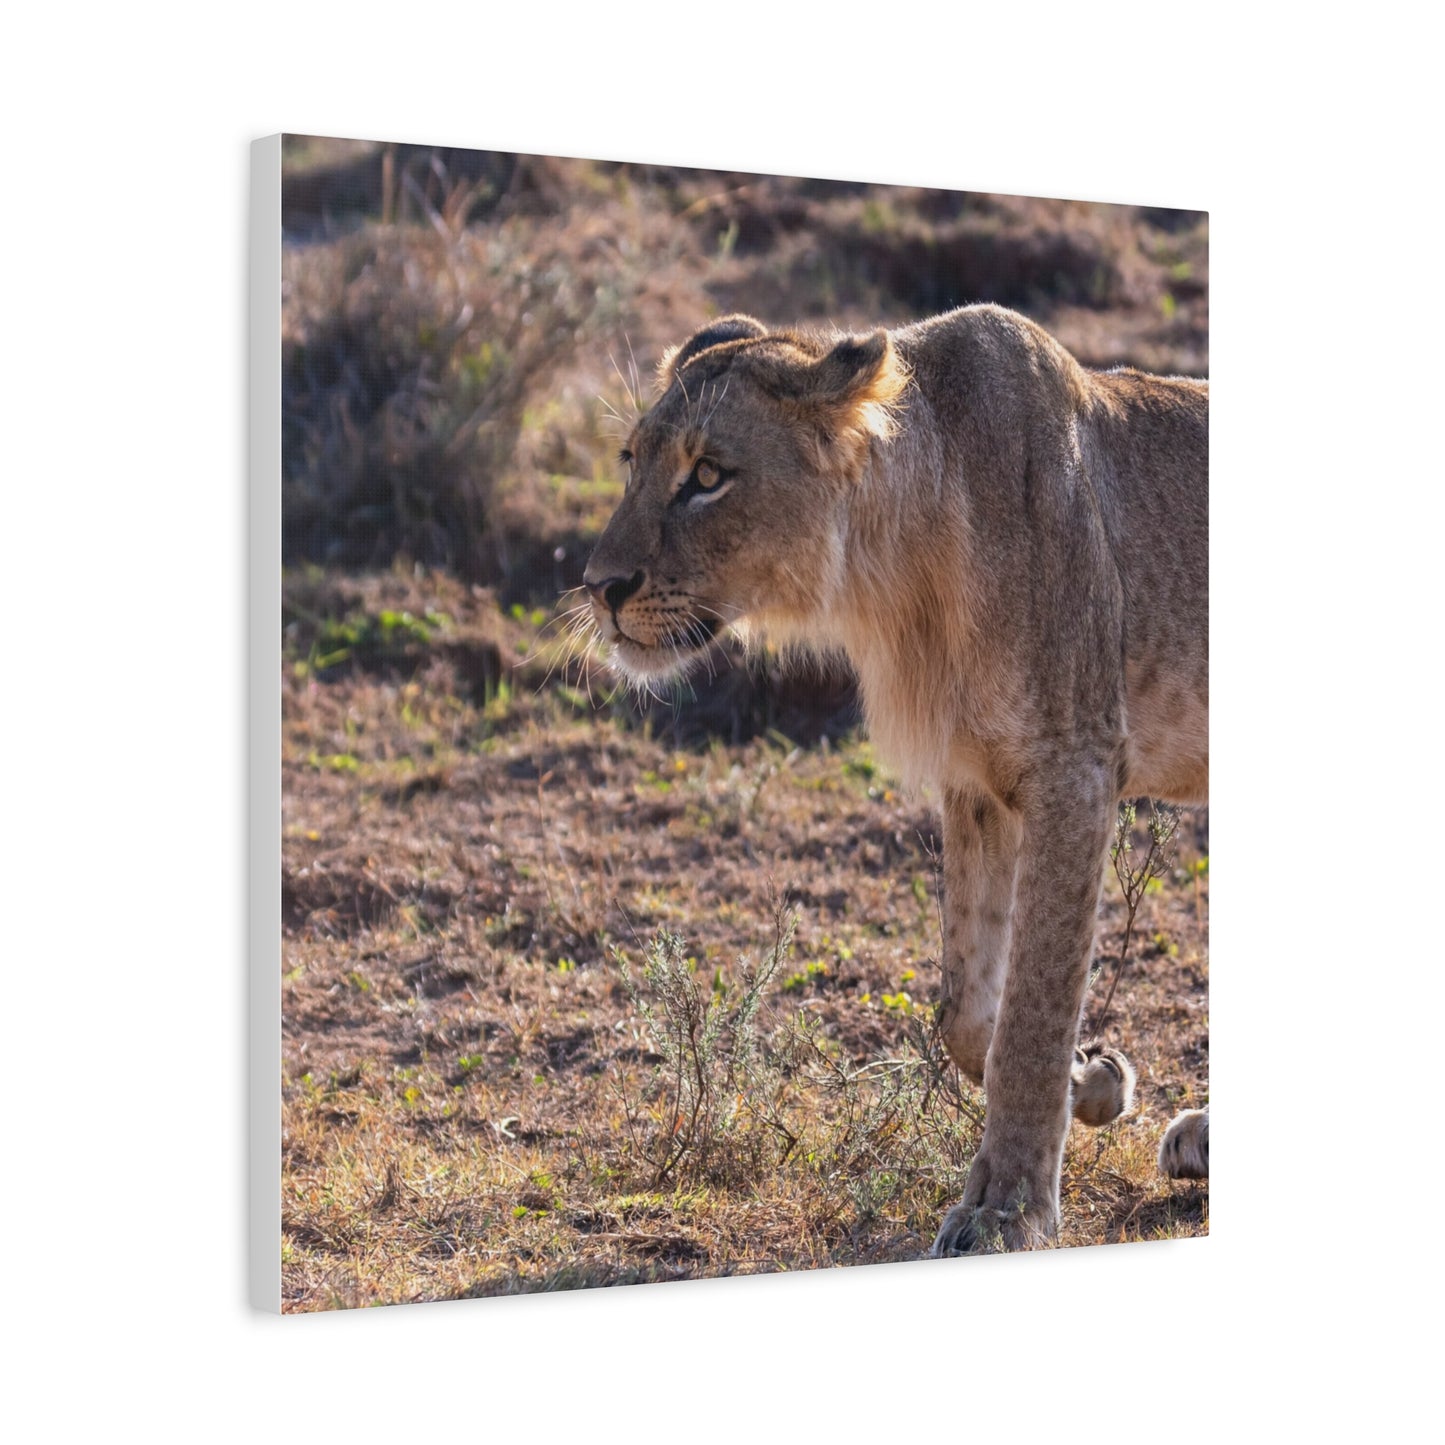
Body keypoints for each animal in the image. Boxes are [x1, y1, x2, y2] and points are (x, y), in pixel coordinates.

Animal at [583, 305, 1208, 1253]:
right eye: (631, 462)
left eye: (708, 475)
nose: (599, 586)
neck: (897, 576)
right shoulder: (977, 783)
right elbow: (969, 1013)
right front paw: (1092, 1080)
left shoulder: (1075, 763)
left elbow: (1032, 1008)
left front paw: (1005, 1210)